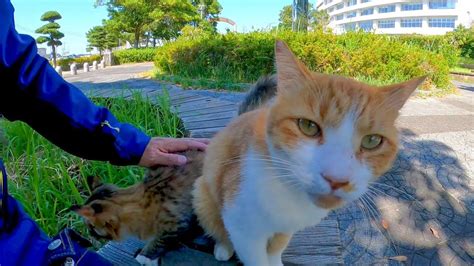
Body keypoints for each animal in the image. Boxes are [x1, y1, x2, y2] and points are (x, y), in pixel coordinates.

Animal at [191, 40, 424, 266]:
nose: (337, 180)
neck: (290, 194)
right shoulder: (243, 228)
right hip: (203, 194)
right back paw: (223, 247)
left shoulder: (286, 228)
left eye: (372, 141)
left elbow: (276, 248)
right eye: (308, 126)